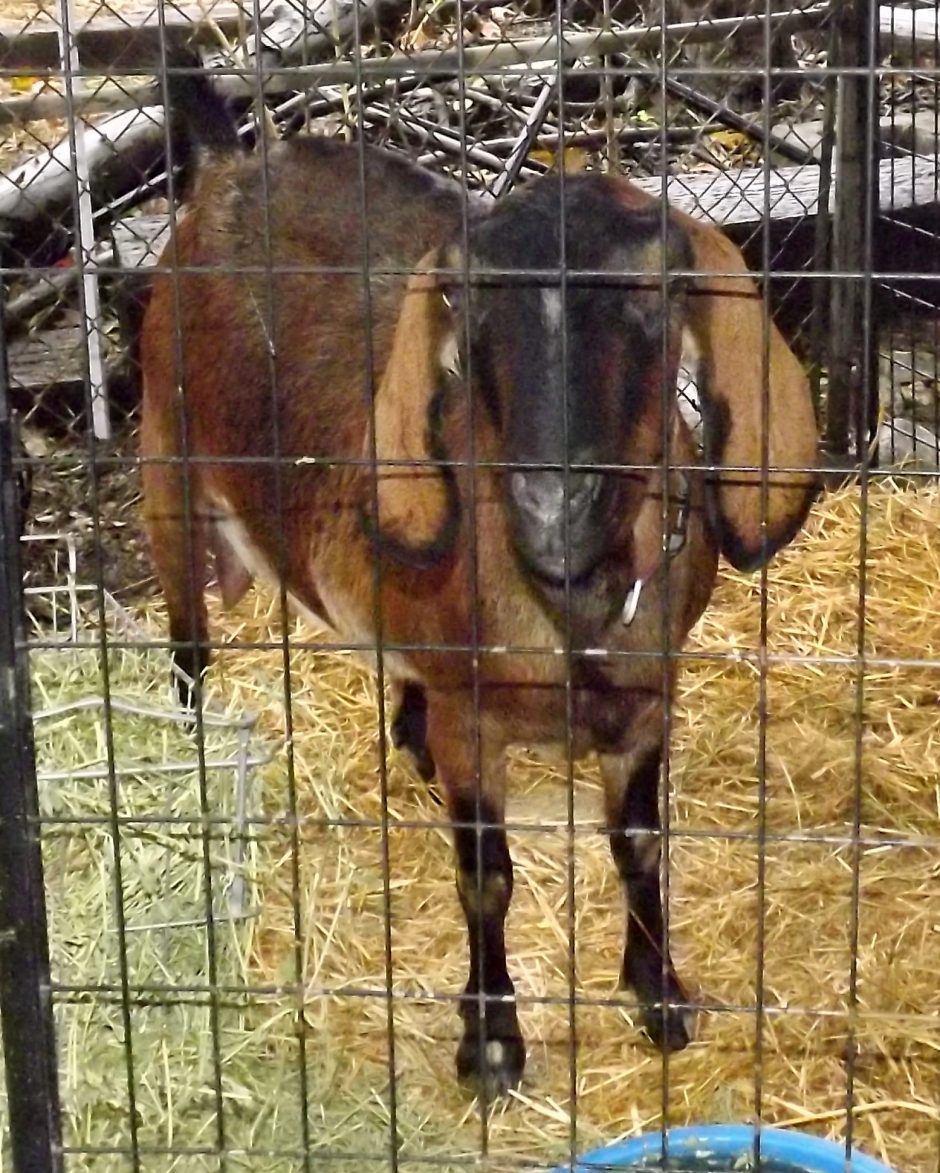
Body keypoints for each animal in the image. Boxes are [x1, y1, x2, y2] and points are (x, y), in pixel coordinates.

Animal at [141, 75, 819, 1095]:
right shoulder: (477, 725)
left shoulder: (651, 702)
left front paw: (659, 992)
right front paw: (492, 1041)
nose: (550, 500)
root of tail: (229, 160)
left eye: (653, 304)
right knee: (187, 651)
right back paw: (187, 761)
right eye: (471, 309)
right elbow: (486, 876)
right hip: (166, 468)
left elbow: (640, 846)